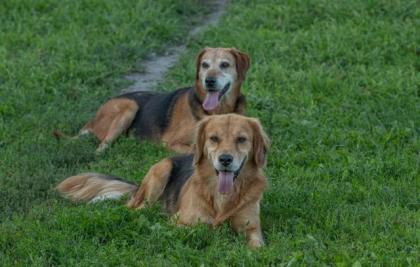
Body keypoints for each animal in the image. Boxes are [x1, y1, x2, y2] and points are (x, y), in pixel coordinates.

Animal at [53, 48, 248, 153]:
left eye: (224, 65)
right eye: (204, 65)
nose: (209, 81)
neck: (218, 110)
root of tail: (92, 120)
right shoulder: (171, 142)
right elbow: (195, 149)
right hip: (129, 106)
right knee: (102, 146)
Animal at [57, 114, 270, 248]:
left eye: (241, 139)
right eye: (214, 138)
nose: (225, 160)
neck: (221, 197)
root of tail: (137, 189)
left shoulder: (252, 228)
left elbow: (257, 246)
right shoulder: (181, 222)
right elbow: (202, 229)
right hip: (161, 170)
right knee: (137, 209)